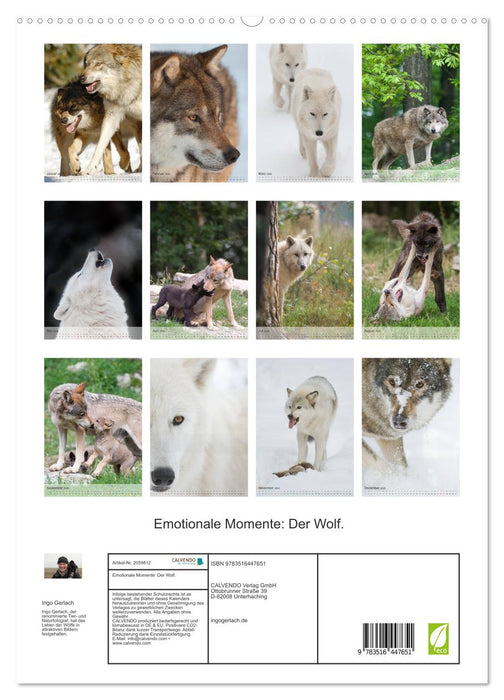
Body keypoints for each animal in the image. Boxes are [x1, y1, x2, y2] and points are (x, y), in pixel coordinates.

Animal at [79, 44, 142, 175]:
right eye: (86, 64)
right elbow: (100, 146)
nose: (81, 78)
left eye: (98, 64)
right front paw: (89, 169)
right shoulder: (111, 116)